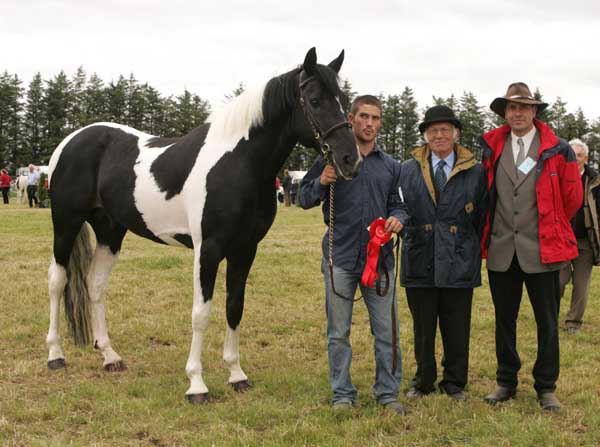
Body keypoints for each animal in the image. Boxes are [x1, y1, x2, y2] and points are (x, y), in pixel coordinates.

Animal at [45, 47, 360, 404]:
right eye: (316, 100)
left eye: (343, 99)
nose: (350, 159)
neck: (238, 164)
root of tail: (72, 140)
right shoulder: (207, 250)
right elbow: (201, 313)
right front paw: (197, 383)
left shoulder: (244, 250)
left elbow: (234, 307)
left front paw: (237, 374)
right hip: (66, 224)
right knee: (57, 281)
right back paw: (55, 355)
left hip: (110, 231)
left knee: (95, 285)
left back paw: (110, 357)